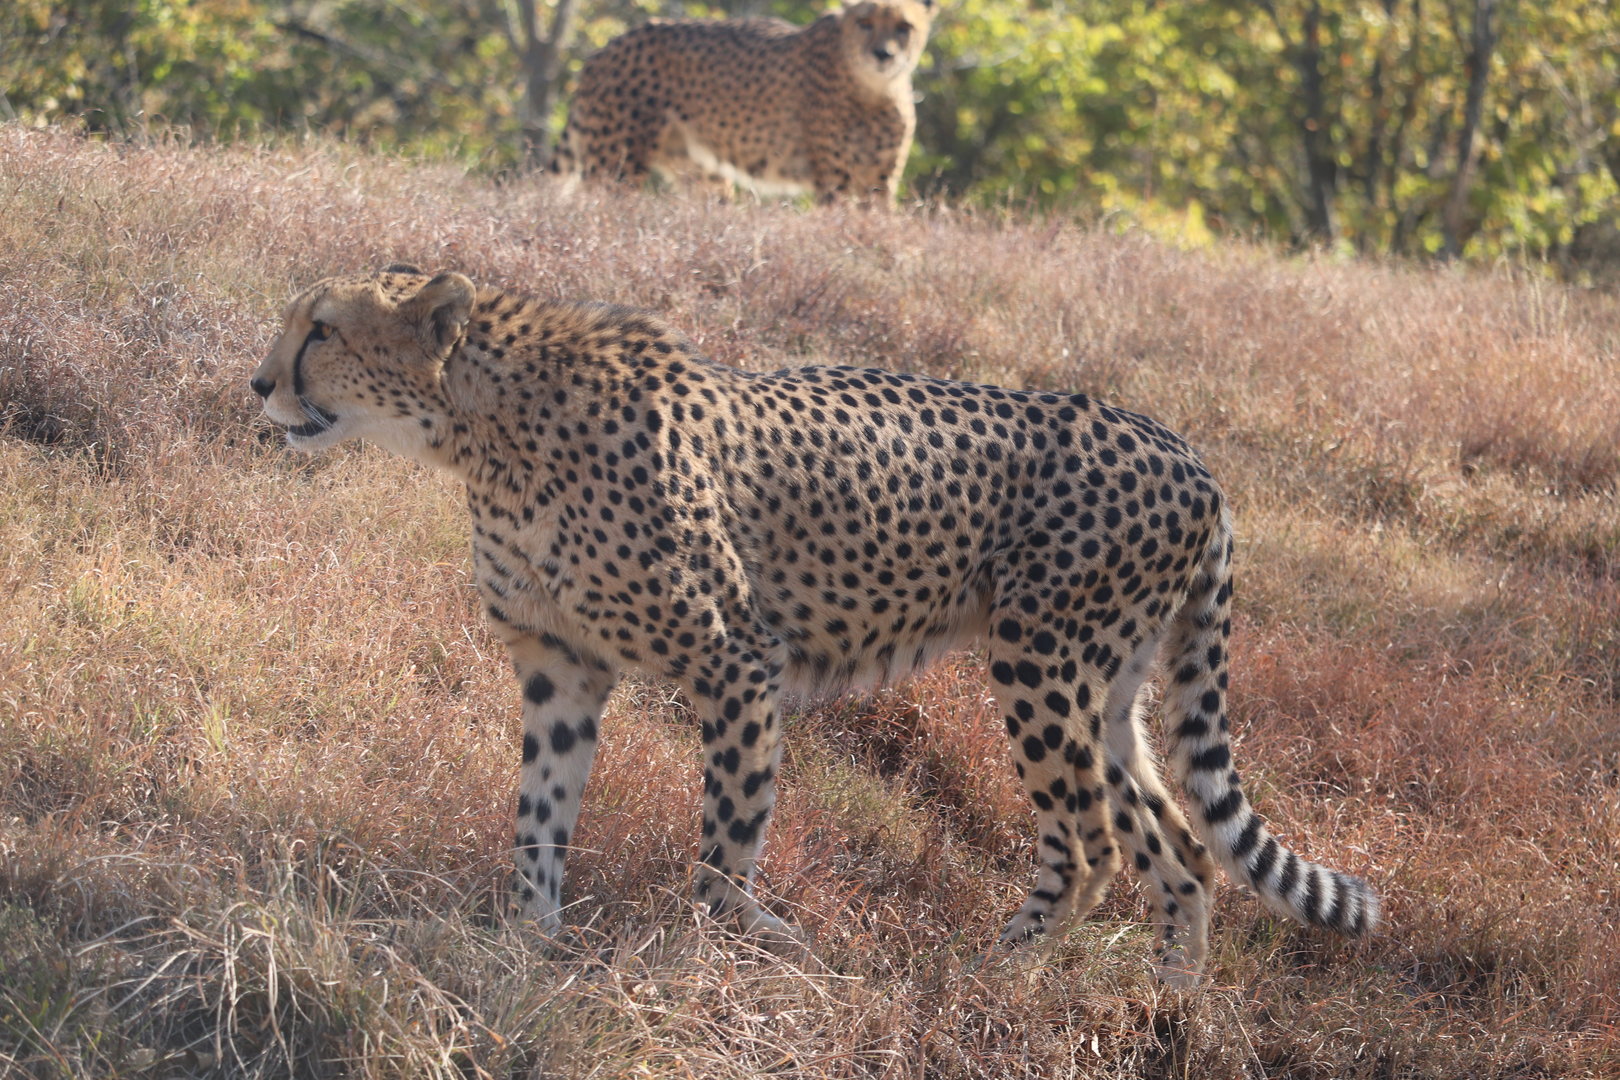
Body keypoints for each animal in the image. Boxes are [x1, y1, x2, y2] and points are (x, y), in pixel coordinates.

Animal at [251, 266, 1379, 984]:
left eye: (322, 329)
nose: (260, 383)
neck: (484, 427)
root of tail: (1187, 451)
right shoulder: (559, 663)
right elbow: (538, 814)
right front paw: (528, 944)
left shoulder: (737, 658)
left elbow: (725, 842)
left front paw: (729, 951)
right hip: (1109, 691)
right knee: (1179, 848)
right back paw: (1165, 1010)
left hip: (1043, 662)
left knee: (1093, 839)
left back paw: (988, 977)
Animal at [549, 0, 935, 204]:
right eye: (864, 22)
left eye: (904, 27)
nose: (883, 54)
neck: (874, 89)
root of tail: (604, 48)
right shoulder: (834, 181)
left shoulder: (879, 181)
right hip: (616, 164)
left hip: (701, 173)